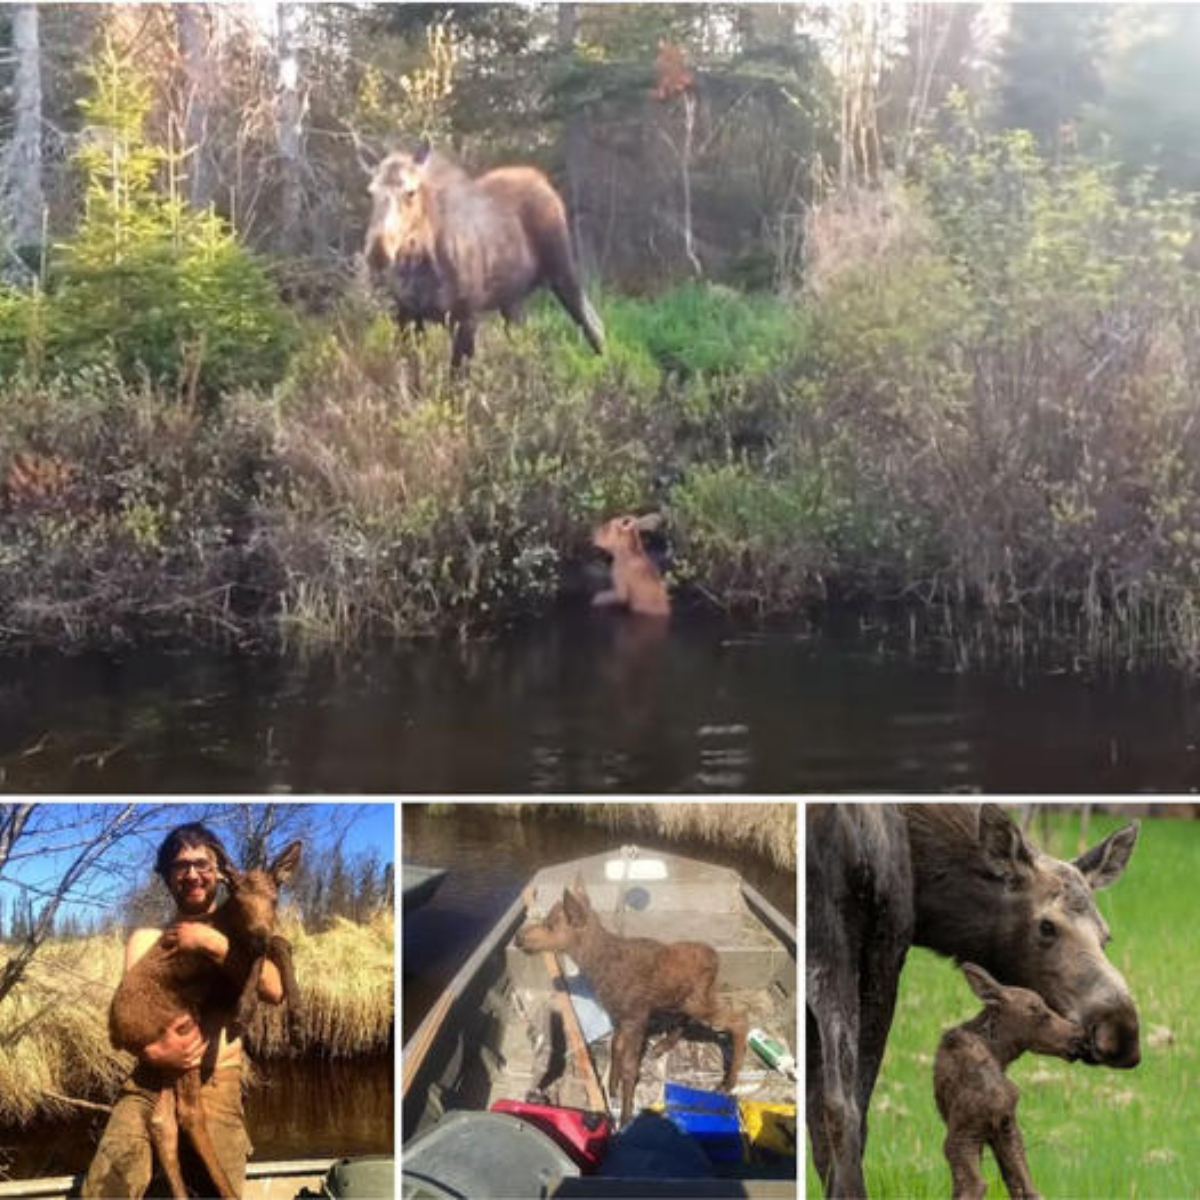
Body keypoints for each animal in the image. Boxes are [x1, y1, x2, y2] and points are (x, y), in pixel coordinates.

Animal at [109, 840, 300, 1200]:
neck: (224, 923)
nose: (258, 933)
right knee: (188, 1113)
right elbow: (263, 952)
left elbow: (280, 943)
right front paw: (245, 1010)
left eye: (274, 897)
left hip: (171, 1055)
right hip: (182, 1030)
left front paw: (296, 1012)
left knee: (162, 1120)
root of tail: (115, 1033)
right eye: (237, 896)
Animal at [362, 141, 609, 364]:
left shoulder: (466, 316)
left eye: (411, 192)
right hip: (512, 300)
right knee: (524, 344)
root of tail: (542, 180)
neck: (419, 263)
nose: (378, 250)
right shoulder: (407, 315)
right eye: (370, 192)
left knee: (594, 325)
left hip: (563, 271)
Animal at [513, 883, 744, 1123]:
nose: (519, 938)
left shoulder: (635, 1017)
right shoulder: (619, 1017)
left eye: (550, 925)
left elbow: (630, 1067)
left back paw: (728, 1083)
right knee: (689, 1018)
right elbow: (615, 1048)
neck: (598, 969)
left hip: (697, 999)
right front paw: (612, 1088)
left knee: (739, 1018)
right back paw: (663, 1046)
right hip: (681, 999)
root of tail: (716, 958)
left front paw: (625, 1117)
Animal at [931, 960, 1094, 1200]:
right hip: (1006, 1130)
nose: (1078, 1036)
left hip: (961, 1135)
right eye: (1038, 1011)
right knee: (1026, 1186)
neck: (1001, 1054)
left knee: (974, 1185)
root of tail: (996, 1098)